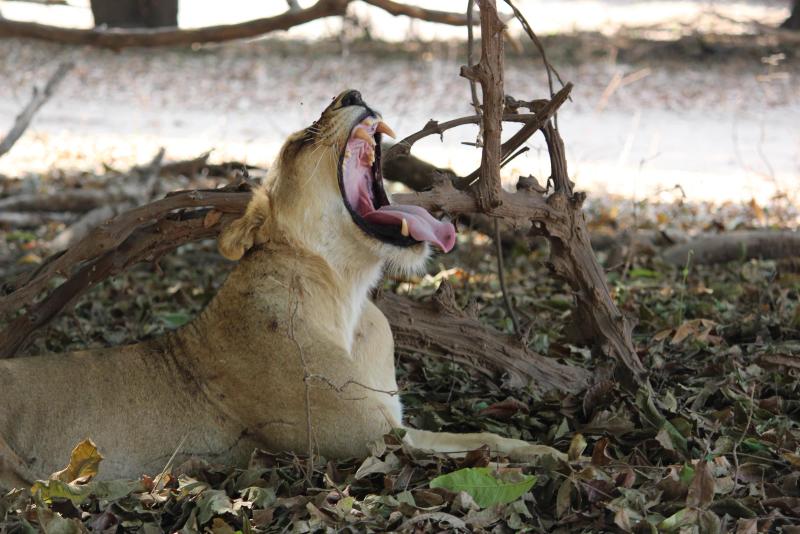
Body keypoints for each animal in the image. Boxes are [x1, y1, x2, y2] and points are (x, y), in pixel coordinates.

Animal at [0, 90, 561, 488]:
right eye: (300, 143)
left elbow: (483, 432)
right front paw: (540, 459)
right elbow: (470, 443)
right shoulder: (375, 440)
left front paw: (548, 451)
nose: (352, 92)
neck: (347, 297)